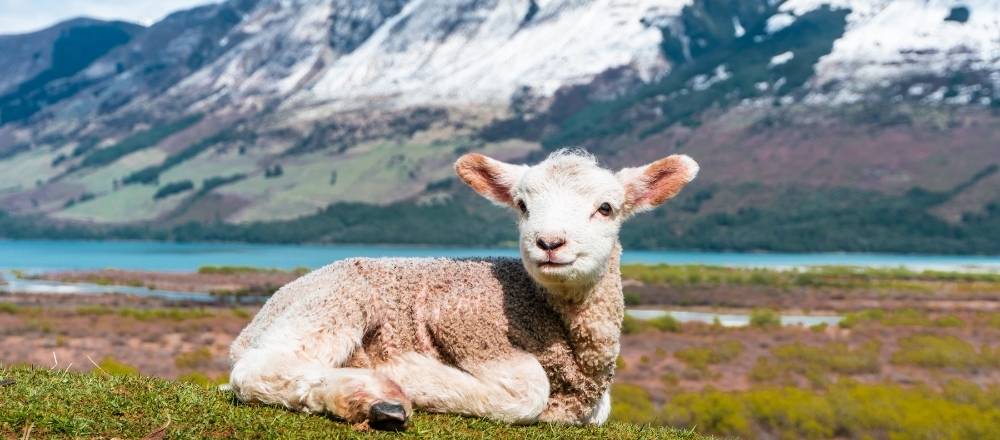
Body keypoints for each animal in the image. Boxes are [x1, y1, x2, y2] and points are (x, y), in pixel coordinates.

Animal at [228, 149, 699, 429]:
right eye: (522, 206)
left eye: (606, 208)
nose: (549, 243)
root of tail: (252, 326)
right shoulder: (462, 318)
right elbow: (528, 392)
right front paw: (410, 373)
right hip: (336, 301)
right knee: (258, 370)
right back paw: (369, 396)